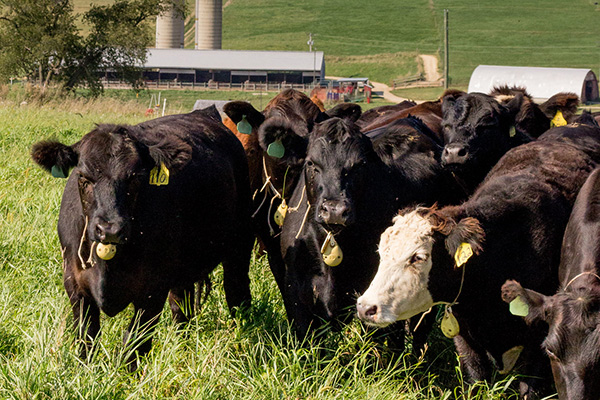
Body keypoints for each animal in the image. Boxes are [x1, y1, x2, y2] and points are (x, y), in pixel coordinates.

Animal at [30, 108, 253, 368]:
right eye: (84, 177)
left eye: (135, 178)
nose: (110, 229)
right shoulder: (75, 284)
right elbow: (87, 337)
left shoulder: (152, 290)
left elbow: (134, 344)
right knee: (182, 307)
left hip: (240, 245)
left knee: (237, 293)